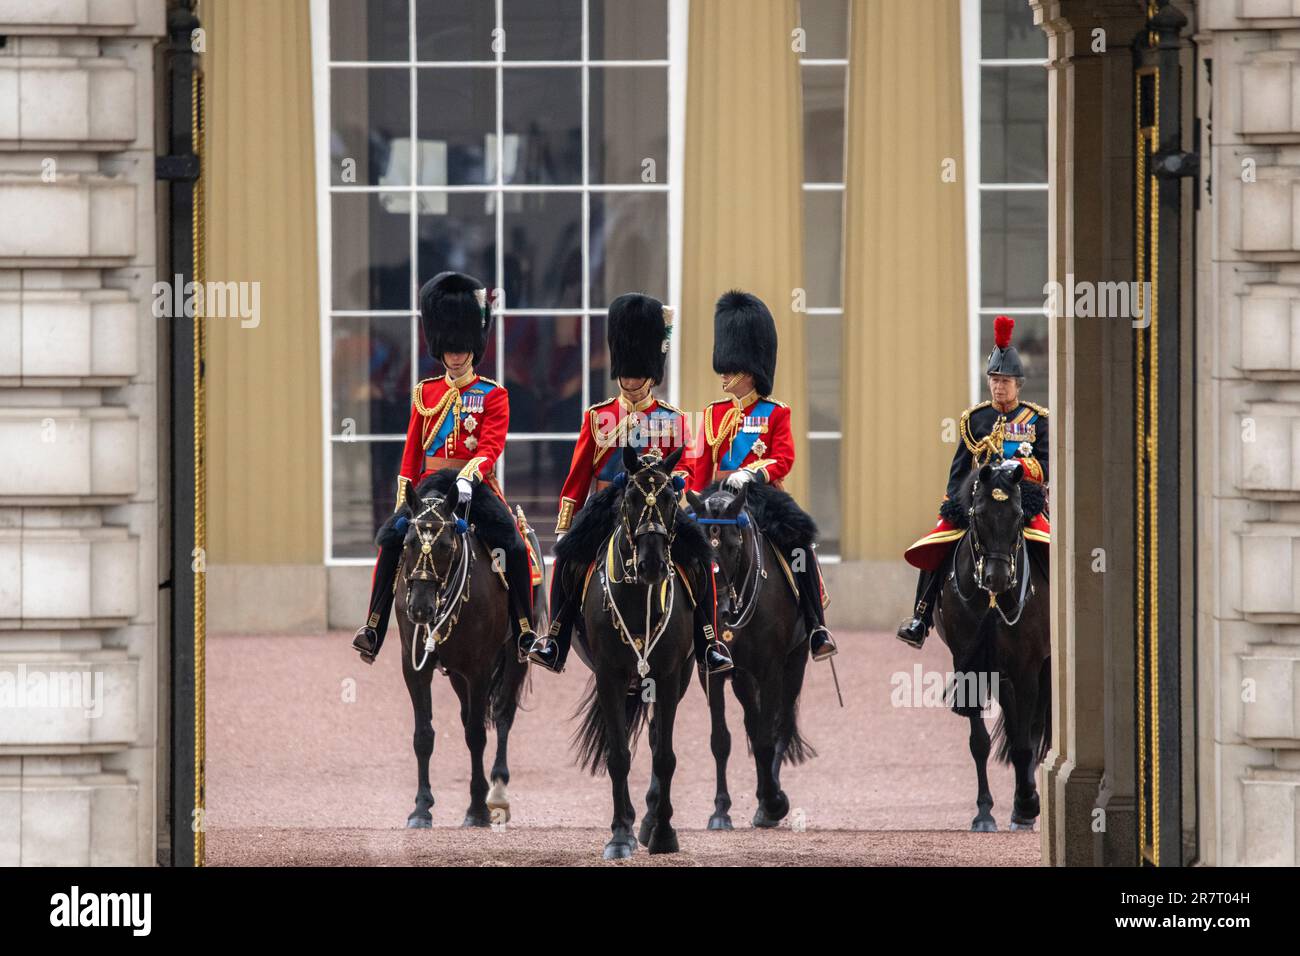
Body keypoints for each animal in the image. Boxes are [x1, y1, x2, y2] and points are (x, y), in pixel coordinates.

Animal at [384, 470, 548, 832]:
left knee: (501, 714)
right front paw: (421, 808)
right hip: (457, 673)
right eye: (408, 542)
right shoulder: (414, 667)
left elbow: (477, 734)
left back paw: (497, 792)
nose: (420, 609)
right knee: (468, 714)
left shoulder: (480, 667)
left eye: (446, 546)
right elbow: (424, 734)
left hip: (513, 657)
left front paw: (476, 809)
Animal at [574, 447, 707, 858]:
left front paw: (663, 832)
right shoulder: (609, 676)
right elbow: (618, 756)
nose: (651, 564)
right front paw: (620, 835)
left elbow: (664, 756)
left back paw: (648, 822)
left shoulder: (668, 675)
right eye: (631, 498)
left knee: (654, 738)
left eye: (670, 500)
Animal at [686, 481, 816, 832]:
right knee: (753, 721)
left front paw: (773, 802)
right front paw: (720, 811)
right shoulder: (712, 673)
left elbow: (766, 738)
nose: (717, 611)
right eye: (698, 549)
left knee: (779, 726)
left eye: (733, 546)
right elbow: (721, 740)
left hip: (795, 663)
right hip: (743, 677)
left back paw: (769, 799)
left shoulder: (771, 670)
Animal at [930, 463, 1050, 832]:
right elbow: (980, 742)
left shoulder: (1028, 665)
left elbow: (1025, 741)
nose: (996, 578)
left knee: (1031, 729)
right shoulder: (970, 663)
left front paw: (1026, 803)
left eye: (1018, 515)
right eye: (979, 514)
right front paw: (984, 812)